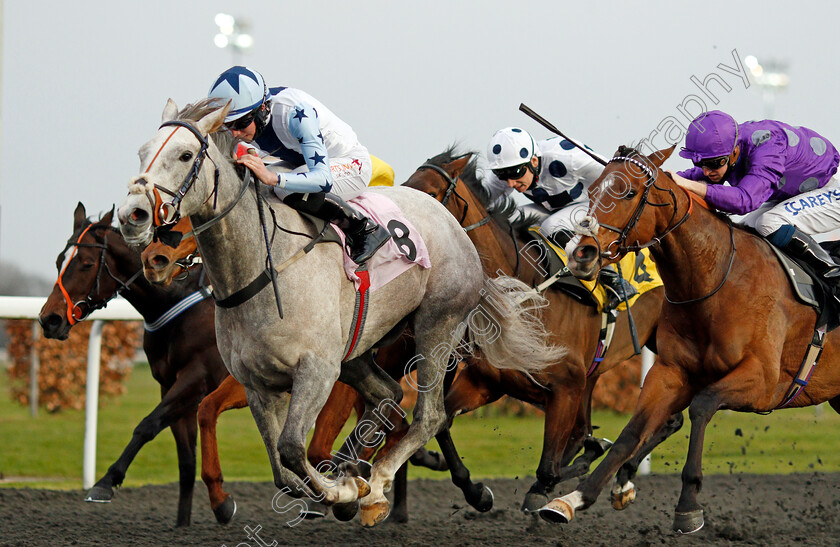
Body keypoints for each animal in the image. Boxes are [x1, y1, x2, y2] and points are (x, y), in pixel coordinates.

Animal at [37, 203, 225, 528]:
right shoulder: (170, 384)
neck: (177, 300)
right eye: (60, 260)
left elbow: (147, 425)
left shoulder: (197, 377)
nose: (49, 319)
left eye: (86, 263)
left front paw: (104, 483)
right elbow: (186, 461)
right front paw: (182, 524)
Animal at [116, 98, 564, 528]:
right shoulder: (257, 384)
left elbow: (292, 450)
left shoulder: (316, 370)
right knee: (389, 395)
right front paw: (344, 487)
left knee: (429, 416)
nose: (133, 215)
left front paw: (345, 491)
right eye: (141, 153)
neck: (259, 267)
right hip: (359, 350)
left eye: (186, 154)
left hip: (437, 325)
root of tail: (452, 224)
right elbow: (283, 473)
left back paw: (378, 481)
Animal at [406, 147, 684, 512]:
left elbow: (550, 466)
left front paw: (552, 482)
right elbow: (441, 425)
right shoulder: (483, 382)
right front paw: (475, 491)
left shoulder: (567, 387)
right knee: (660, 421)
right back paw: (620, 477)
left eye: (431, 193)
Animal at [540, 146, 840, 536]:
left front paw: (688, 506)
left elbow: (701, 405)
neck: (717, 279)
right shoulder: (670, 371)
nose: (581, 254)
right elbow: (630, 432)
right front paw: (573, 499)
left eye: (628, 192)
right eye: (591, 192)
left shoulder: (763, 381)